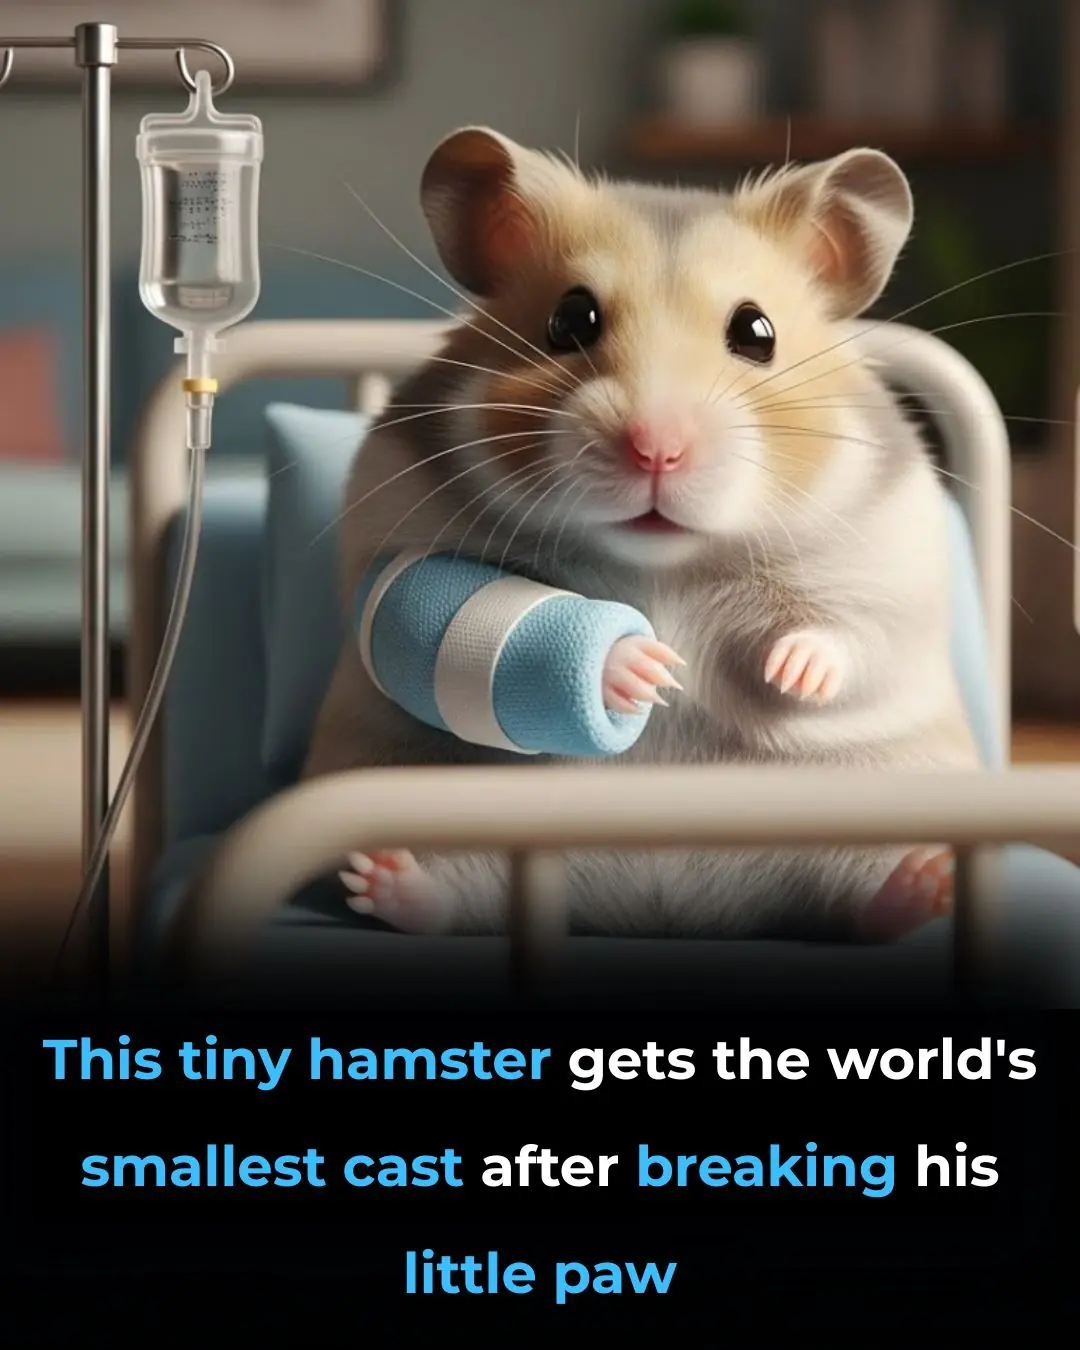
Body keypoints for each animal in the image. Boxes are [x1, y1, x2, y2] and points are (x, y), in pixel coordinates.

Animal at [302, 125, 980, 943]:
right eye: (571, 321)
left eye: (756, 332)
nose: (657, 449)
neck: (664, 565)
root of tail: (655, 906)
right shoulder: (393, 555)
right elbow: (416, 625)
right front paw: (651, 672)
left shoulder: (892, 567)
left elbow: (849, 634)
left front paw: (786, 670)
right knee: (448, 897)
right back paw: (381, 877)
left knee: (863, 905)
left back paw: (926, 881)